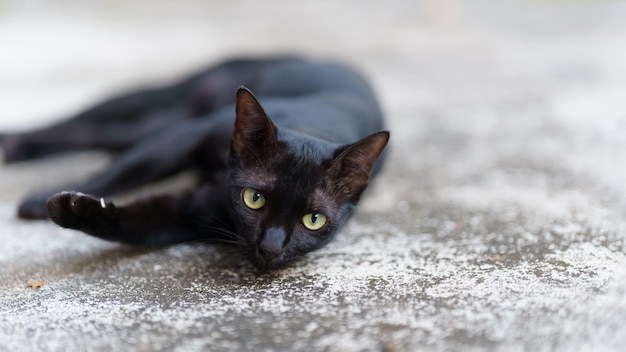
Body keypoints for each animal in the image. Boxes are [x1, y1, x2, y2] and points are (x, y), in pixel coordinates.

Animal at [2, 56, 388, 268]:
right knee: (84, 124)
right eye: (254, 198)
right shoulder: (184, 137)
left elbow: (131, 222)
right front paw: (44, 200)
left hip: (159, 121)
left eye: (313, 220)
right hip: (163, 103)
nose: (270, 247)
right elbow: (128, 171)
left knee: (102, 134)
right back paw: (13, 140)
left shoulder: (187, 214)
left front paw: (74, 209)